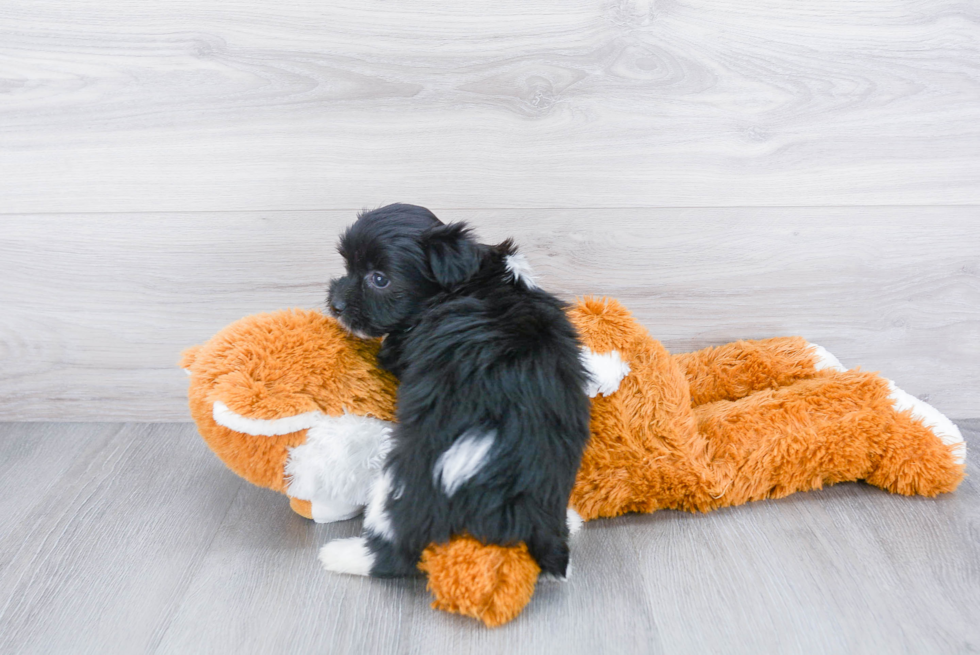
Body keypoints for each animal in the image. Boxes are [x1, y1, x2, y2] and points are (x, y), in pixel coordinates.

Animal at [320, 205, 588, 580]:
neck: (471, 278)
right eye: (348, 267)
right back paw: (572, 521)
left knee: (396, 544)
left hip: (404, 476)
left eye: (379, 279)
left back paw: (342, 556)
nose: (336, 304)